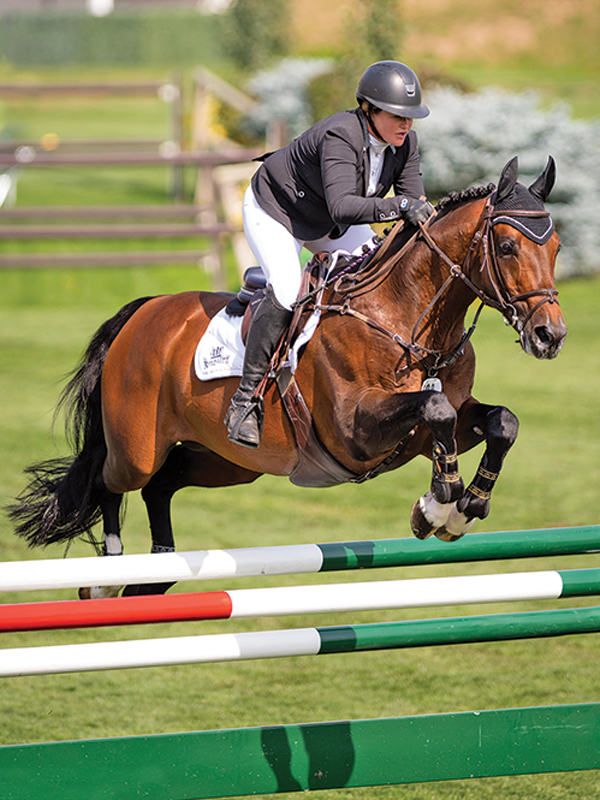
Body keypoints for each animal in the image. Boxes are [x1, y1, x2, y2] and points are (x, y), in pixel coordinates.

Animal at [9, 156, 567, 598]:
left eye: (557, 247)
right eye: (508, 247)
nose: (550, 335)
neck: (409, 317)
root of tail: (144, 311)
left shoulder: (430, 425)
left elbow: (499, 422)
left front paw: (461, 507)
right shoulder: (353, 431)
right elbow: (435, 409)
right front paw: (436, 506)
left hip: (228, 461)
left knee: (161, 487)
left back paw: (157, 574)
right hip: (137, 449)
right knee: (111, 482)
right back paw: (108, 576)